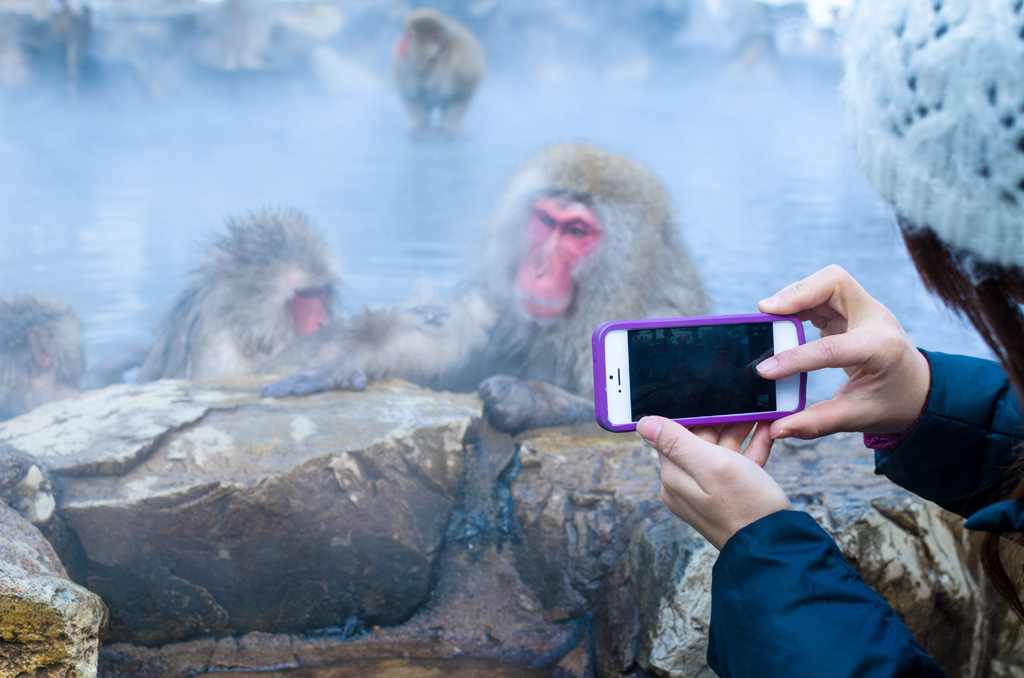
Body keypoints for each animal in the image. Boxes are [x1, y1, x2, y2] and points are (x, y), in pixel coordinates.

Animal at [264, 144, 712, 436]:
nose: (538, 269)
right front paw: (340, 359)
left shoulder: (665, 317)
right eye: (545, 221)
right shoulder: (504, 307)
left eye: (577, 231)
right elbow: (451, 341)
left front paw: (531, 398)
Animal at [391, 8, 487, 137]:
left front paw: (450, 128)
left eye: (409, 36)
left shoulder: (464, 67)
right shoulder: (405, 70)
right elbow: (412, 97)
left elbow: (461, 97)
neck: (435, 60)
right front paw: (421, 127)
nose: (399, 44)